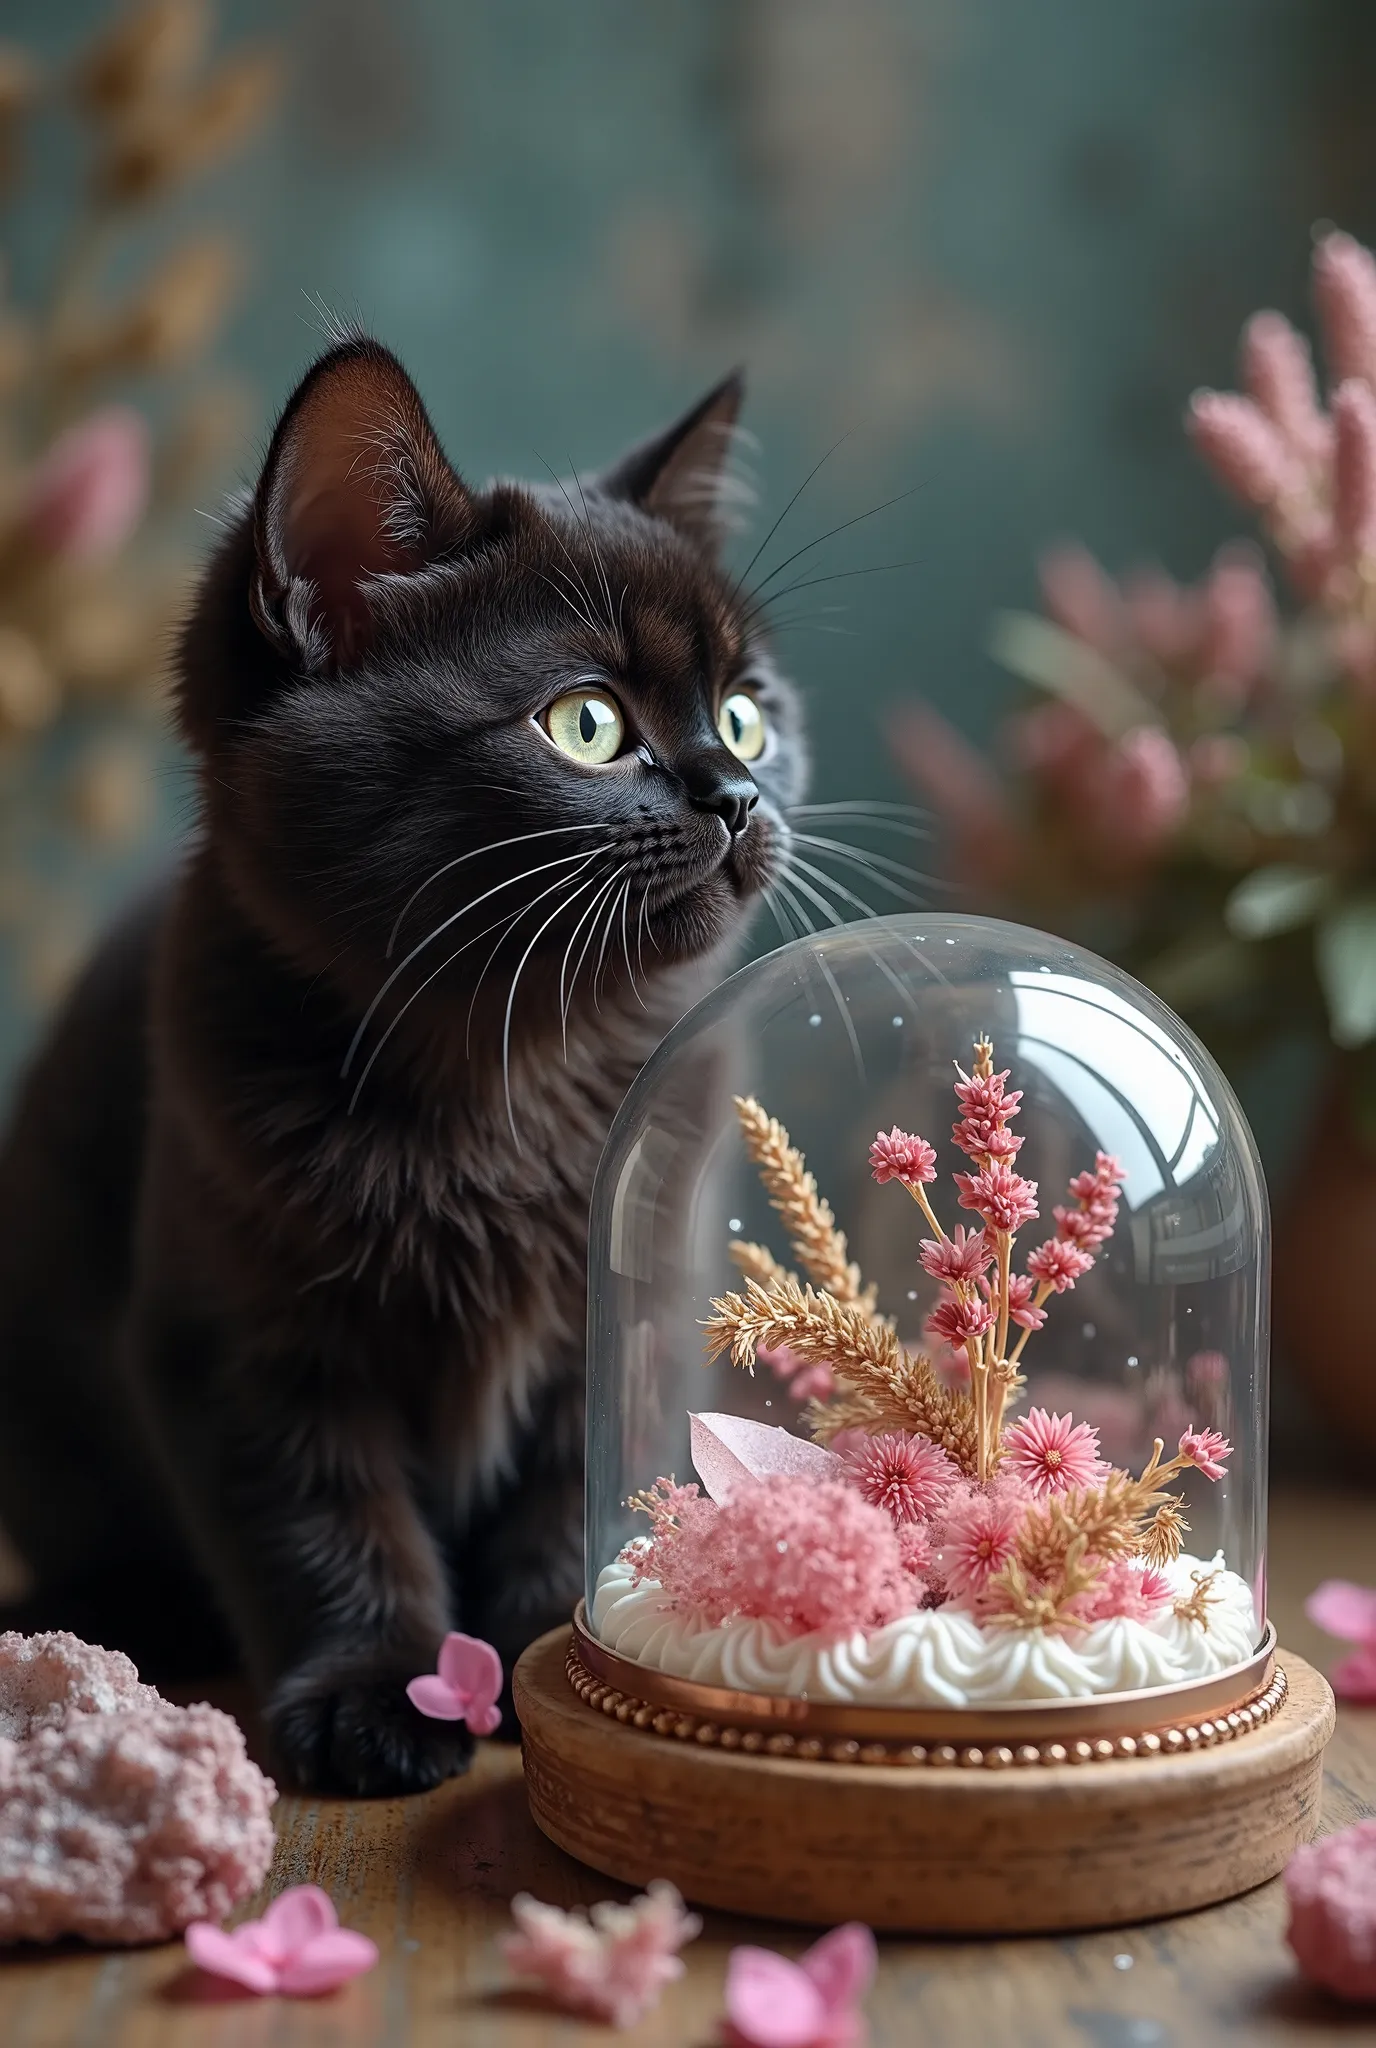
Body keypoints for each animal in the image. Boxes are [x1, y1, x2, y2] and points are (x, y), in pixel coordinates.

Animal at [0, 339, 806, 1794]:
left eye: (743, 714)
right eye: (587, 725)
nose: (737, 791)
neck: (510, 1077)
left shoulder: (625, 1299)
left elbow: (572, 1485)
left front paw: (556, 1647)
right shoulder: (242, 1344)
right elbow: (322, 1524)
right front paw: (381, 1691)